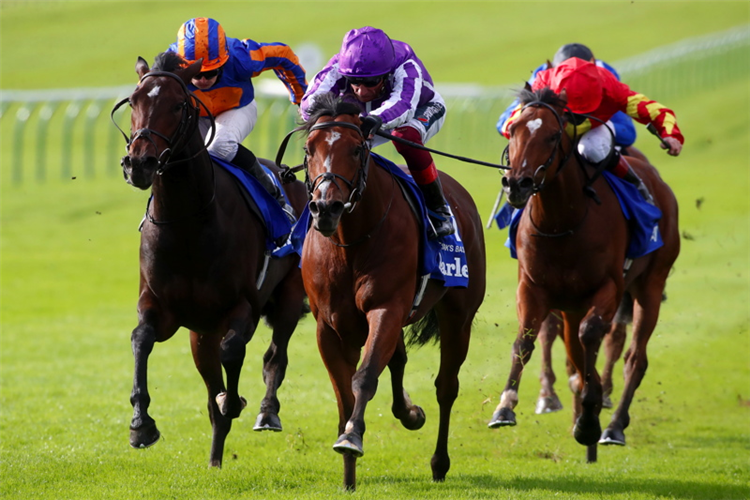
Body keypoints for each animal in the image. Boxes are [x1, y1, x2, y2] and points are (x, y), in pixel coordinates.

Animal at [114, 52, 308, 466]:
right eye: (134, 101)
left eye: (177, 104)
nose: (139, 164)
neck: (188, 224)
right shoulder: (162, 308)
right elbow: (141, 338)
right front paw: (141, 425)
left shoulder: (242, 306)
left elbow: (233, 353)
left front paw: (234, 401)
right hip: (199, 333)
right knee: (211, 386)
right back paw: (216, 458)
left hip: (287, 295)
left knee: (275, 356)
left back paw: (266, 412)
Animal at [300, 95, 488, 490]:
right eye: (309, 148)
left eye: (357, 149)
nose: (326, 207)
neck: (350, 241)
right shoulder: (330, 326)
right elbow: (344, 393)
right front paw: (348, 476)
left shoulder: (385, 308)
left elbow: (364, 376)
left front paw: (352, 438)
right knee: (399, 358)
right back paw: (410, 413)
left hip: (458, 315)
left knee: (446, 386)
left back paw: (439, 462)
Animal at [490, 88, 684, 462]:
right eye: (514, 130)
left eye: (553, 135)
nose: (517, 183)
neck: (561, 224)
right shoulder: (534, 287)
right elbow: (527, 340)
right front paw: (505, 407)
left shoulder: (608, 287)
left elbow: (591, 335)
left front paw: (591, 415)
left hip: (650, 285)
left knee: (635, 358)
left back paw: (613, 426)